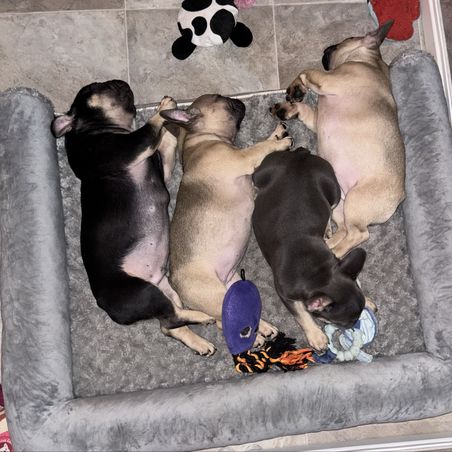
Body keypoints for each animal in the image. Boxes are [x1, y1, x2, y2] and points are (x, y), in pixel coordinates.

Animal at [51, 80, 215, 355]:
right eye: (94, 88)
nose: (119, 81)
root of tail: (105, 305)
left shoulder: (159, 164)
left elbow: (165, 144)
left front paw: (170, 126)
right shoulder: (130, 148)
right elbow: (149, 128)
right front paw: (163, 108)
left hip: (164, 288)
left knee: (168, 323)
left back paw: (200, 340)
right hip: (144, 292)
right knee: (171, 317)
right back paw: (202, 317)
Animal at [160, 94, 294, 354]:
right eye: (220, 99)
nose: (238, 100)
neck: (202, 138)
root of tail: (173, 282)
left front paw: (276, 134)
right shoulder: (242, 158)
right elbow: (258, 148)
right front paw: (278, 143)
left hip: (229, 286)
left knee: (227, 319)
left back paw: (263, 330)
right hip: (213, 292)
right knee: (219, 321)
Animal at [252, 147, 368, 351]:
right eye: (344, 323)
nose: (355, 324)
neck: (318, 271)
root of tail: (300, 155)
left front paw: (369, 300)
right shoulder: (285, 295)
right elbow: (301, 314)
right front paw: (316, 336)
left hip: (333, 188)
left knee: (330, 208)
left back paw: (327, 228)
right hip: (259, 175)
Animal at [271, 20, 405, 258]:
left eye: (346, 39)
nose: (328, 47)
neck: (369, 61)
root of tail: (399, 197)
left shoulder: (328, 80)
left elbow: (305, 71)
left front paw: (297, 85)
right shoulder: (316, 118)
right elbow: (305, 109)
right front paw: (291, 107)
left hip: (357, 200)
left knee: (358, 234)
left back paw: (335, 253)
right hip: (339, 206)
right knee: (343, 229)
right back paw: (328, 244)